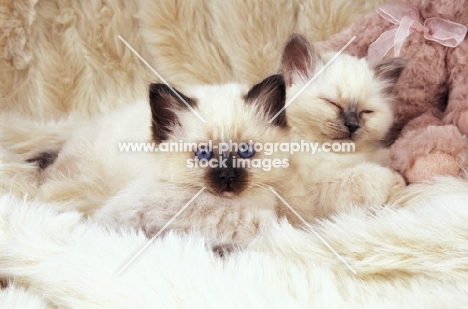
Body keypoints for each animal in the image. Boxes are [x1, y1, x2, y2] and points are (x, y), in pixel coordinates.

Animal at [276, 34, 404, 221]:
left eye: (366, 111)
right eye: (332, 103)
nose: (352, 125)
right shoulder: (316, 192)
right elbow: (368, 175)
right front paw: (397, 180)